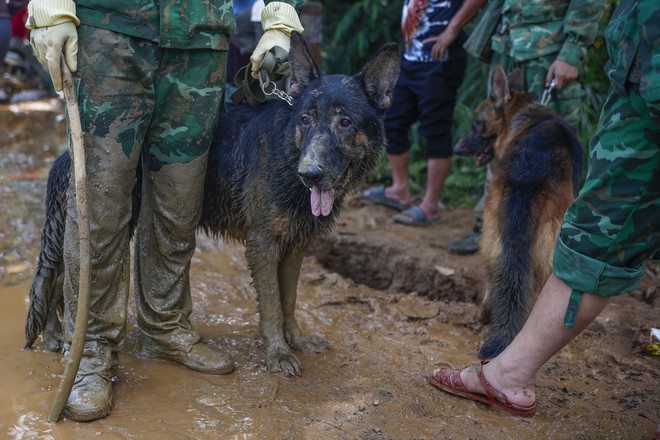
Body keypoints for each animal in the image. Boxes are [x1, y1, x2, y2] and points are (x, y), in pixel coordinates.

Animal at [23, 35, 400, 378]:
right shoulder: (262, 245)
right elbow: (272, 306)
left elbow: (289, 300)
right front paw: (277, 353)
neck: (289, 153)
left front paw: (296, 340)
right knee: (57, 282)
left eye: (345, 122)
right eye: (306, 119)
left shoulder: (296, 246)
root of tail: (67, 155)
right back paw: (57, 337)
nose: (309, 174)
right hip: (107, 225)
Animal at [454, 66, 584, 360]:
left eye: (477, 123)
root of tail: (528, 172)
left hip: (498, 236)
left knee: (499, 279)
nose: (456, 148)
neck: (522, 115)